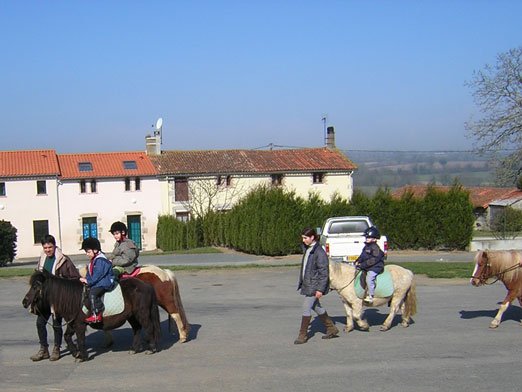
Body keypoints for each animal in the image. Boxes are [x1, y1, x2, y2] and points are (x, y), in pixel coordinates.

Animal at [22, 272, 160, 362]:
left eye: (36, 286)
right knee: (137, 329)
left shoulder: (79, 324)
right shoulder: (72, 323)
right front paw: (76, 353)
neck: (73, 298)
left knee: (149, 327)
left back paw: (151, 348)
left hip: (142, 313)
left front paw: (82, 356)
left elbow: (81, 339)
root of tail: (147, 286)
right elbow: (67, 337)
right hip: (132, 316)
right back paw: (134, 348)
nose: (24, 302)